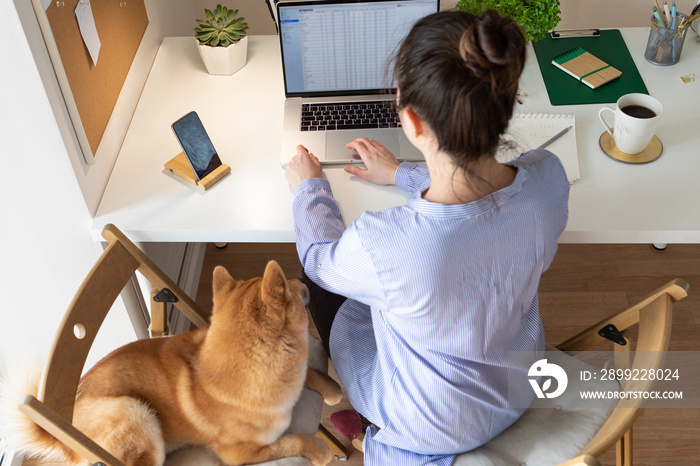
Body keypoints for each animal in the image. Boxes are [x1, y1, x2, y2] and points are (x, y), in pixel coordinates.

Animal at [0, 262, 344, 466]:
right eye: (288, 286)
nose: (302, 278)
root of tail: (62, 435)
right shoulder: (241, 453)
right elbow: (297, 439)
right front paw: (321, 451)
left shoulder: (298, 374)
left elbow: (309, 373)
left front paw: (331, 390)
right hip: (135, 414)